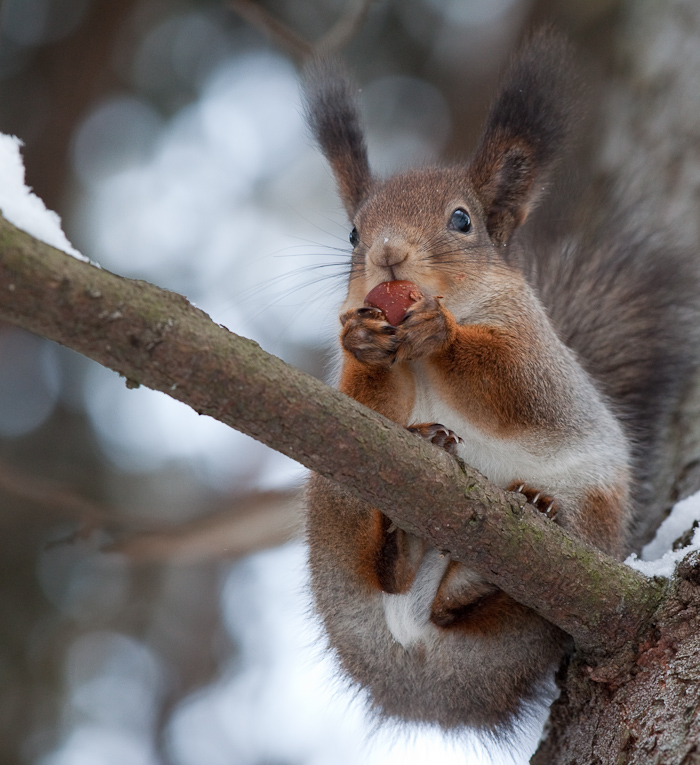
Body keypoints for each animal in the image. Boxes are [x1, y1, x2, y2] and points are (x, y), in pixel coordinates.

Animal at [300, 29, 700, 736]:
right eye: (353, 232)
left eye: (462, 220)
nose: (388, 254)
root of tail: (420, 669)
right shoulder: (350, 410)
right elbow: (366, 405)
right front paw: (364, 345)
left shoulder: (537, 352)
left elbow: (515, 385)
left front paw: (443, 333)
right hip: (337, 494)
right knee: (381, 565)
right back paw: (405, 545)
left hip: (590, 514)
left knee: (475, 601)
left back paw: (493, 556)